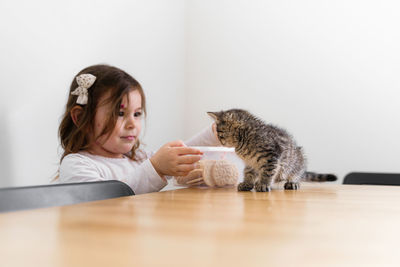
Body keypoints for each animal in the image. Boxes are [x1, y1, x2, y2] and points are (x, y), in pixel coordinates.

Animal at [208, 109, 336, 193]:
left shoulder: (271, 156)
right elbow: (249, 173)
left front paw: (263, 184)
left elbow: (267, 172)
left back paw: (293, 182)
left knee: (296, 174)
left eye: (219, 133)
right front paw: (247, 184)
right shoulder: (250, 162)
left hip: (299, 160)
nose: (220, 141)